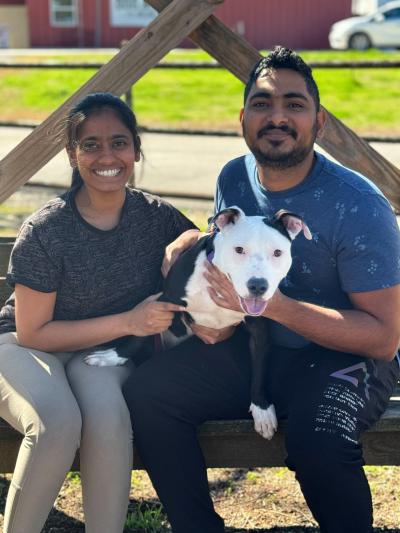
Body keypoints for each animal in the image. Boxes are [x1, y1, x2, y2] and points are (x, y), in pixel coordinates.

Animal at [86, 208, 310, 440]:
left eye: (277, 253)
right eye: (239, 249)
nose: (258, 285)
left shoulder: (259, 329)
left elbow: (259, 369)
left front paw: (262, 409)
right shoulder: (164, 301)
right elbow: (141, 333)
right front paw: (113, 356)